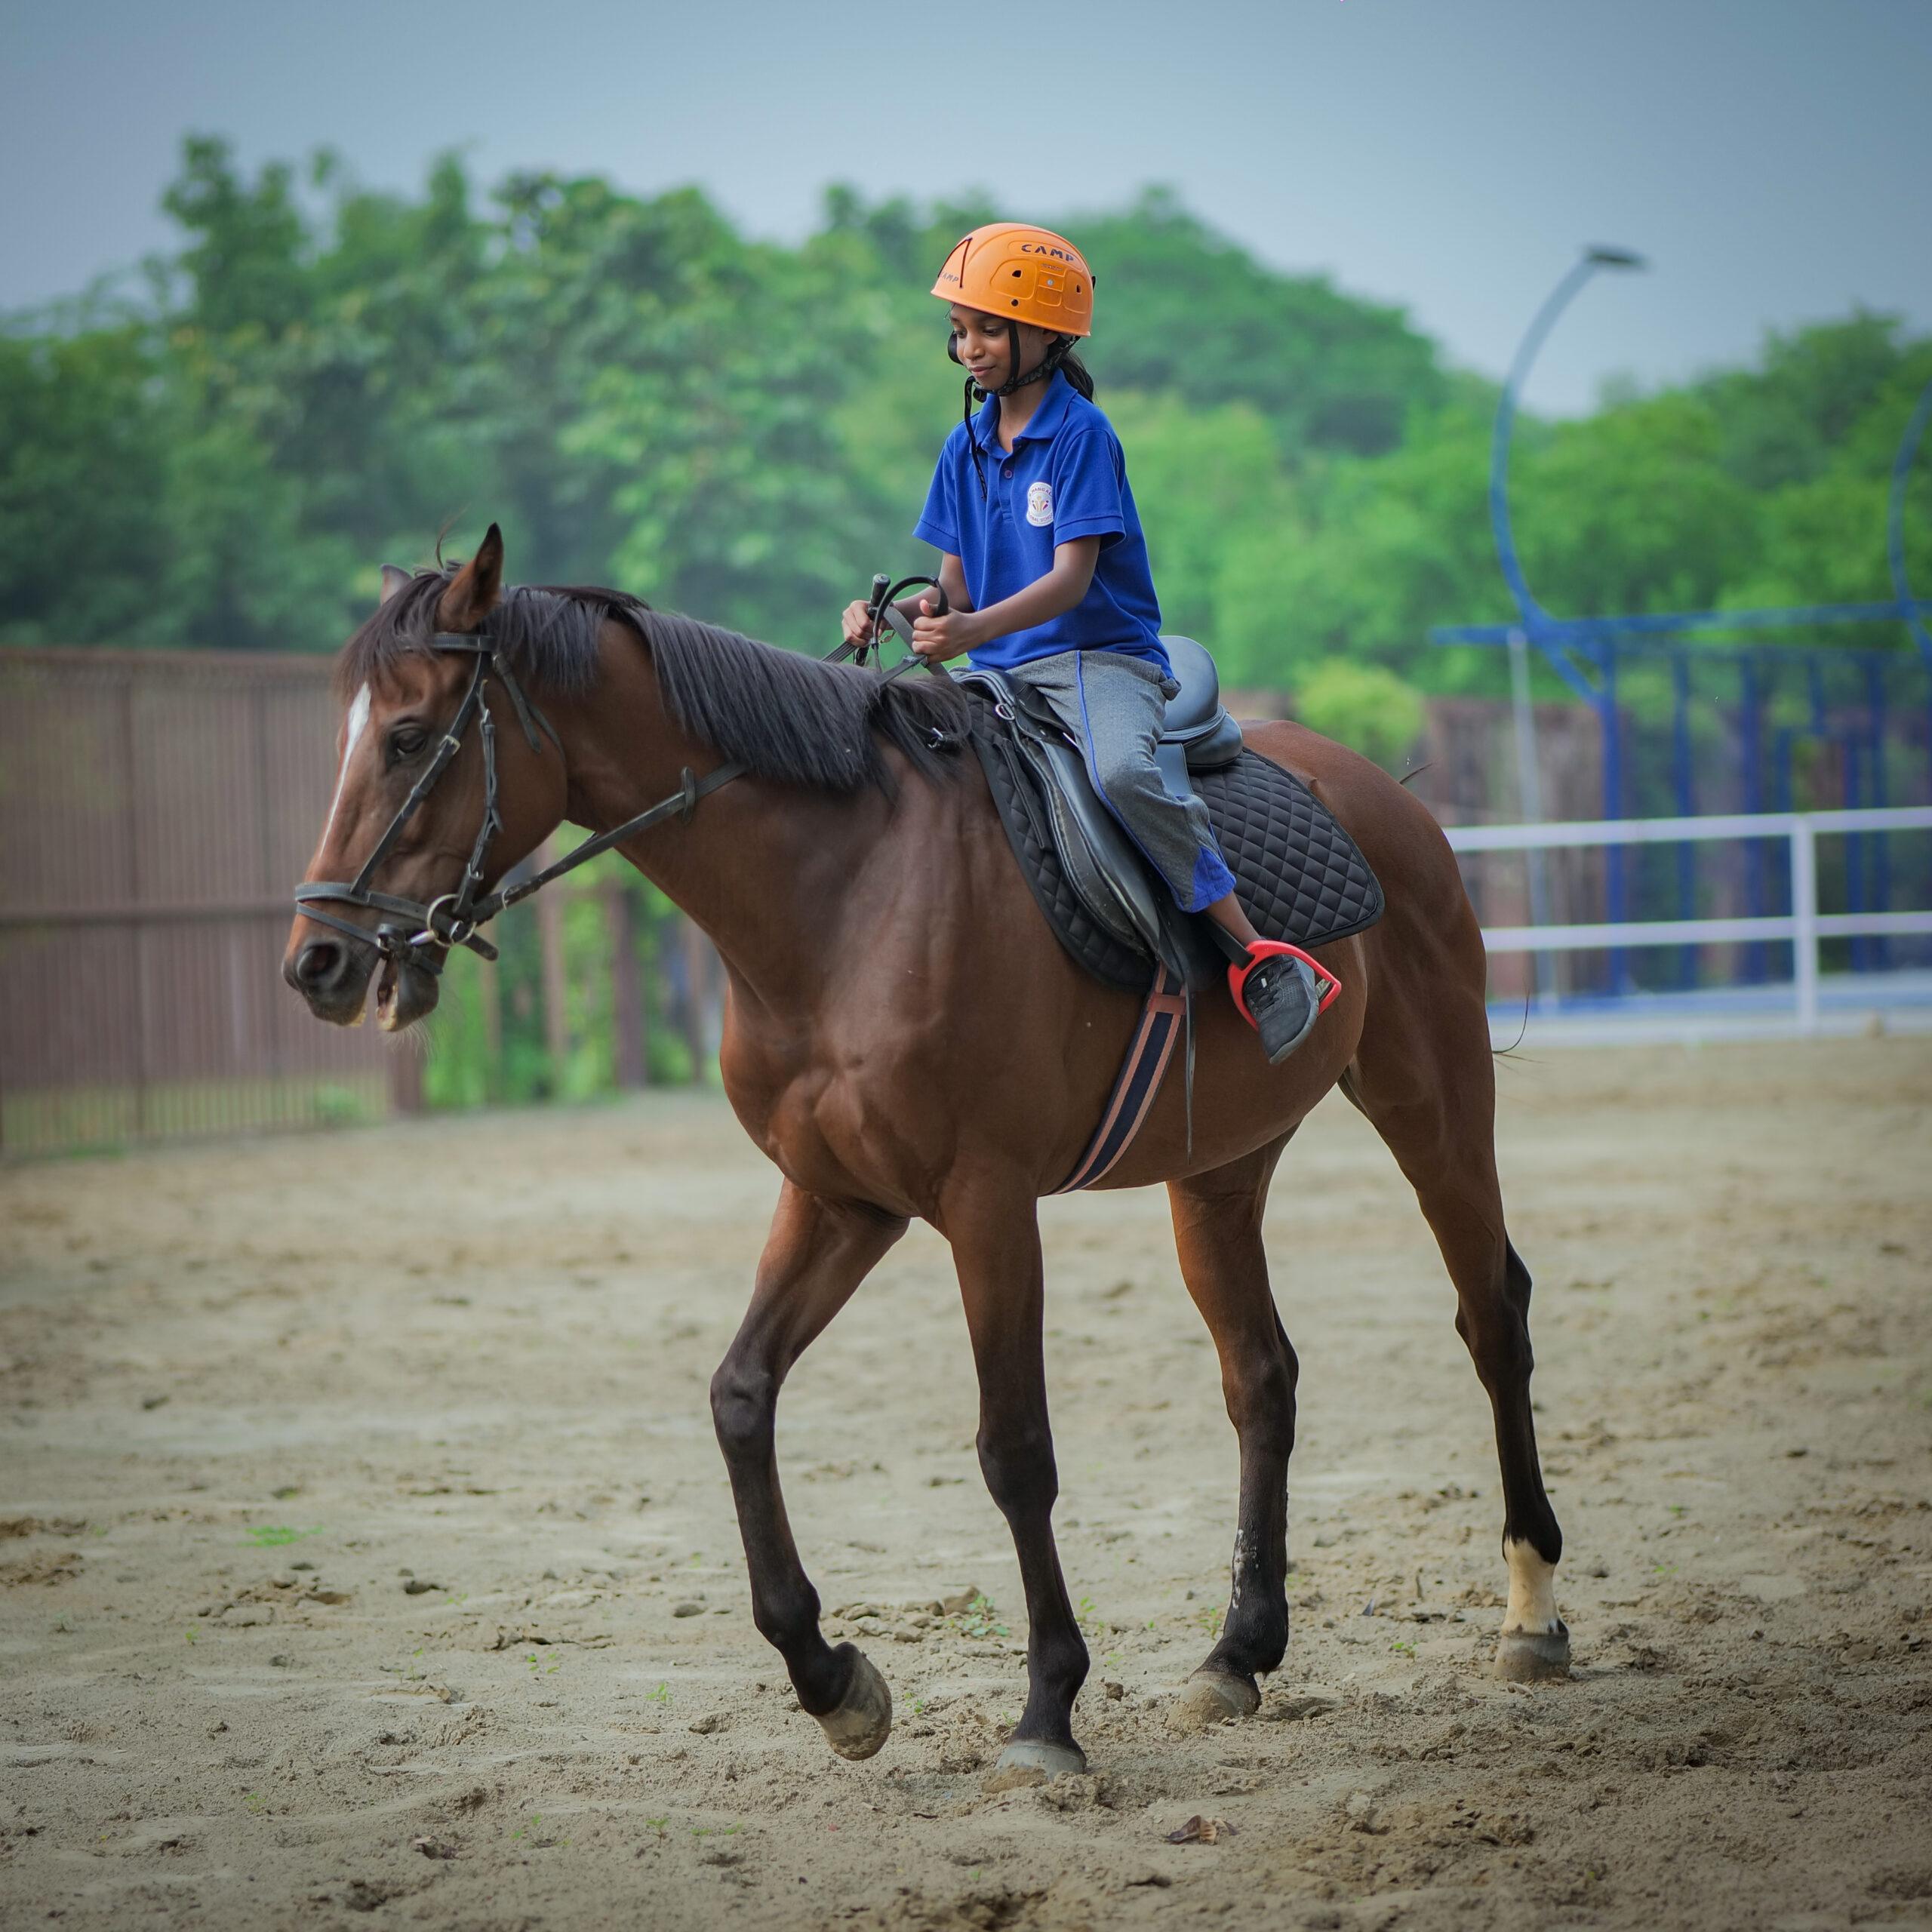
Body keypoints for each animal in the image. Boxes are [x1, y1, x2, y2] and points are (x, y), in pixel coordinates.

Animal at [283, 525, 1568, 1782]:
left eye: (408, 737)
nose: (317, 963)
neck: (841, 893)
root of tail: (1379, 793)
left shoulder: (986, 1203)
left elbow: (1015, 1449)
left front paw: (1047, 1711)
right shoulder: (837, 1199)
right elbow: (740, 1397)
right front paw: (833, 1681)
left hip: (1432, 1103)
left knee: (1490, 1315)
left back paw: (1532, 1612)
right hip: (1219, 1170)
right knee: (1260, 1376)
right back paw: (1236, 1654)